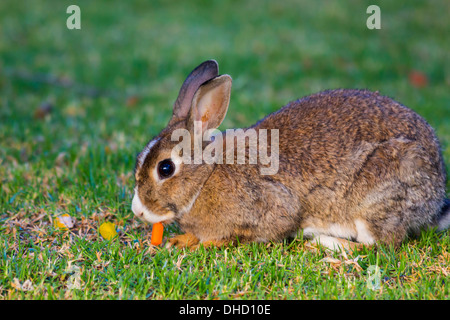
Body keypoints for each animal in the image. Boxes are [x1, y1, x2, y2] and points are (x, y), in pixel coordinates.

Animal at [132, 59, 448, 250]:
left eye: (165, 168)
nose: (137, 211)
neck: (205, 177)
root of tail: (435, 199)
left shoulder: (272, 206)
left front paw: (204, 244)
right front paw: (180, 240)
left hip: (377, 196)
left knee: (380, 244)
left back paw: (323, 242)